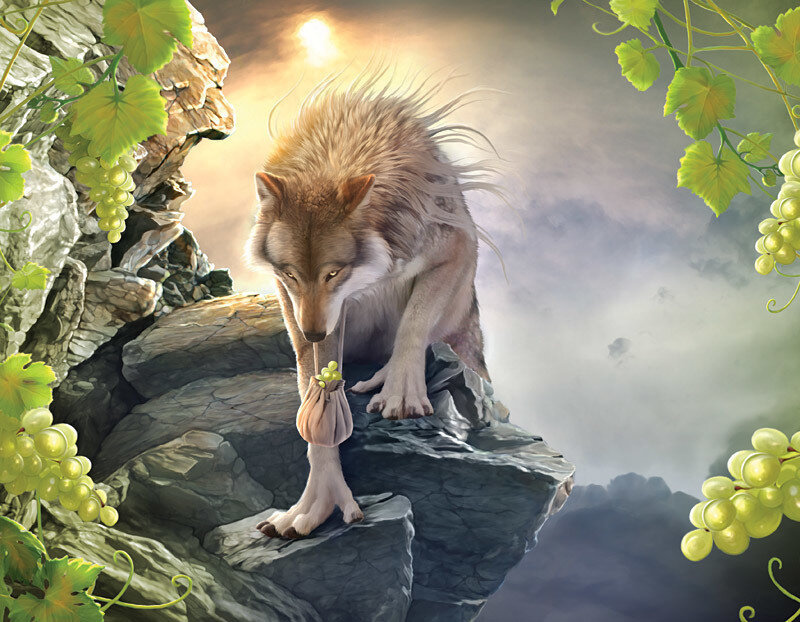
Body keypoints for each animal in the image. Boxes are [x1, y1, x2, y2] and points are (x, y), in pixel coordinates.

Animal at [245, 64, 503, 538]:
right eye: (292, 274)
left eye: (333, 273)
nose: (313, 332)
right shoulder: (299, 307)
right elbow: (316, 394)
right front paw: (315, 503)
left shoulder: (456, 244)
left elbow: (415, 322)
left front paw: (400, 391)